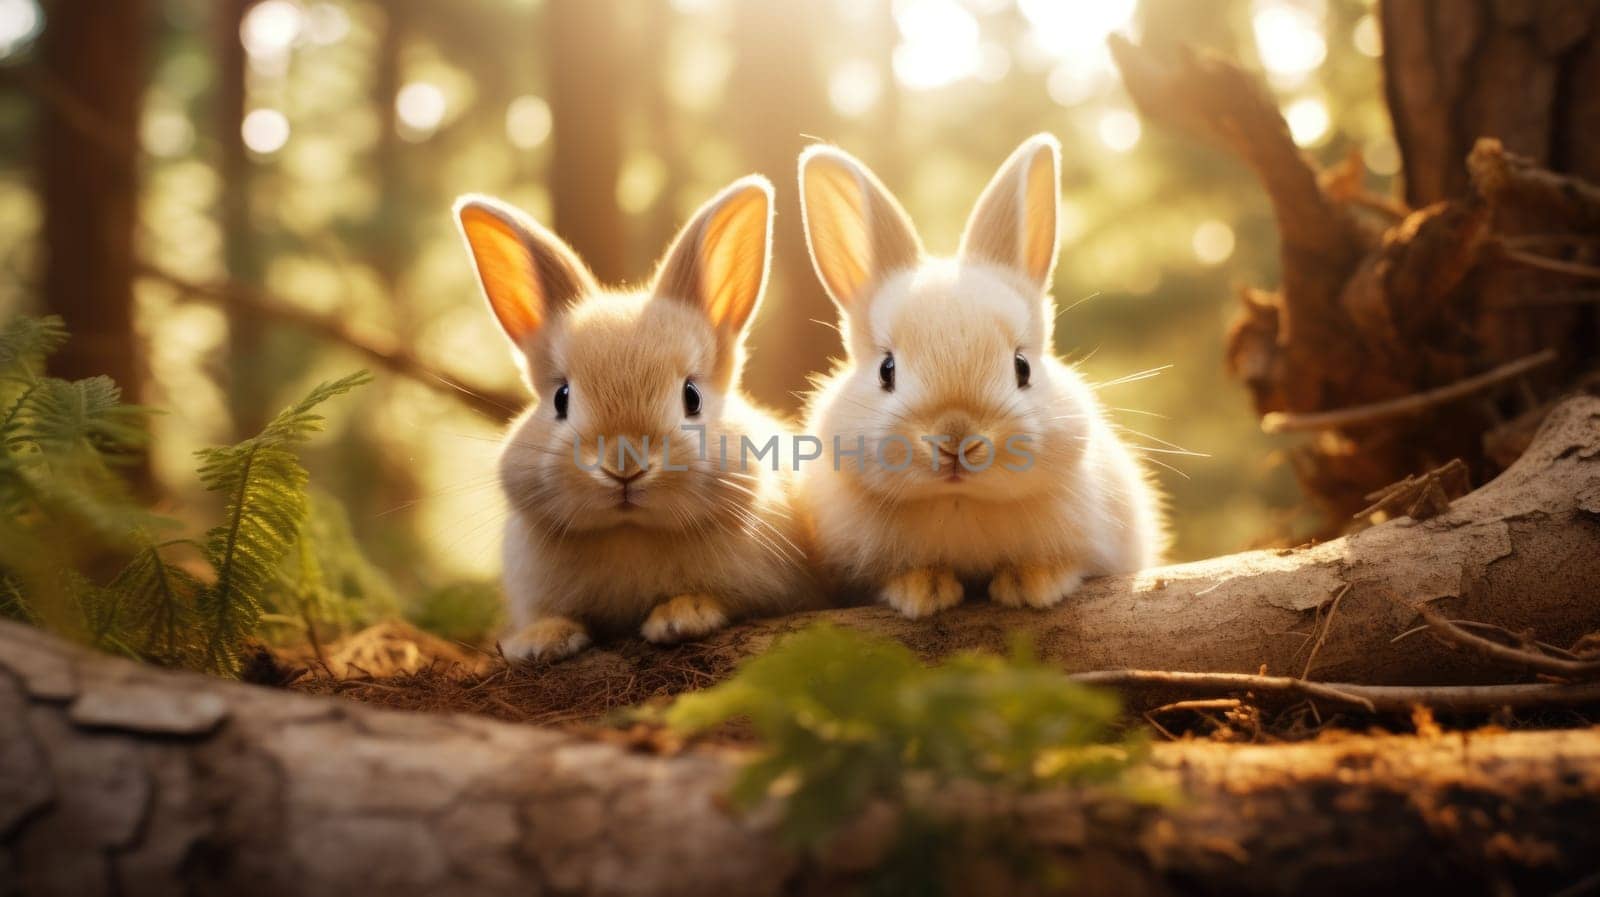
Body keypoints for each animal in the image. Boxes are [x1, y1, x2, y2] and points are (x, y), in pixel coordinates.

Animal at [454, 175, 819, 658]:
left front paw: (681, 616)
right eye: (561, 398)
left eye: (692, 396)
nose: (624, 466)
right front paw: (540, 642)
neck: (630, 532)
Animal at [796, 136, 1164, 620]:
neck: (959, 502)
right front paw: (924, 591)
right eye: (886, 370)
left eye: (1022, 367)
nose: (956, 439)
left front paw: (1031, 584)